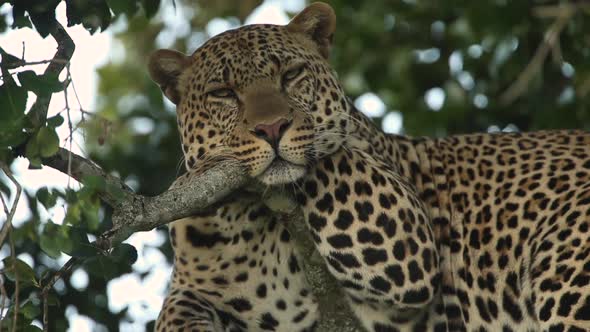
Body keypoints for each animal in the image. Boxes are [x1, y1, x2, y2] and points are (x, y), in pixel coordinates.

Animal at [149, 2, 590, 332]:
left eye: (291, 75)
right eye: (223, 93)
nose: (271, 128)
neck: (251, 220)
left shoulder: (405, 240)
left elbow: (330, 152)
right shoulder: (190, 285)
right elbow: (174, 316)